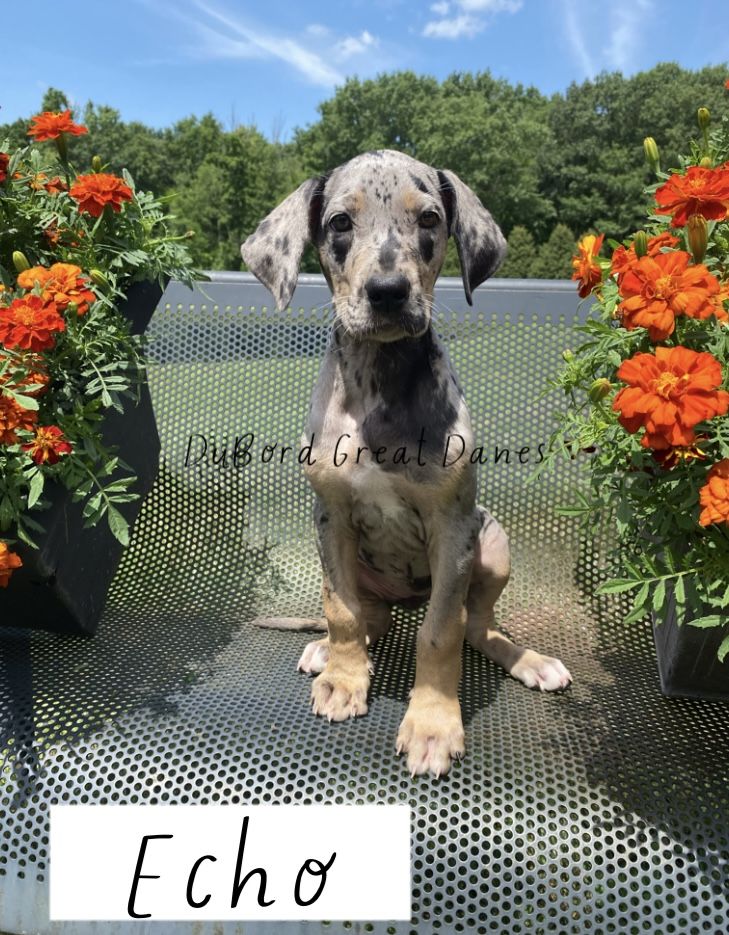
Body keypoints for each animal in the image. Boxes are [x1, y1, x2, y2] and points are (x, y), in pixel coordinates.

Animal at [241, 150, 571, 778]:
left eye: (429, 219)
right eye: (340, 223)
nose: (389, 292)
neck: (380, 379)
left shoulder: (452, 525)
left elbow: (440, 633)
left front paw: (433, 724)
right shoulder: (330, 517)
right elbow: (340, 610)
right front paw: (345, 680)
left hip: (492, 542)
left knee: (474, 626)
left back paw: (528, 659)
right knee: (372, 618)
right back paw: (327, 651)